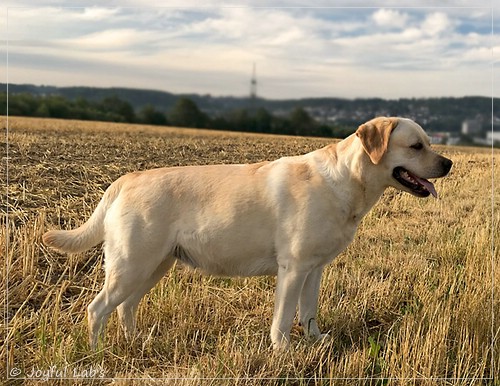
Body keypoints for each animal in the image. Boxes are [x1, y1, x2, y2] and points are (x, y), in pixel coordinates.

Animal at [43, 117, 454, 350]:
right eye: (416, 145)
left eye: (430, 143)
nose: (449, 163)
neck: (346, 181)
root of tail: (124, 179)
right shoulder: (293, 268)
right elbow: (284, 317)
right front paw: (283, 351)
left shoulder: (314, 269)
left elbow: (309, 312)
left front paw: (316, 341)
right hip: (131, 265)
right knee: (97, 309)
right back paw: (96, 353)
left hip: (153, 266)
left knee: (125, 307)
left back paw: (136, 342)